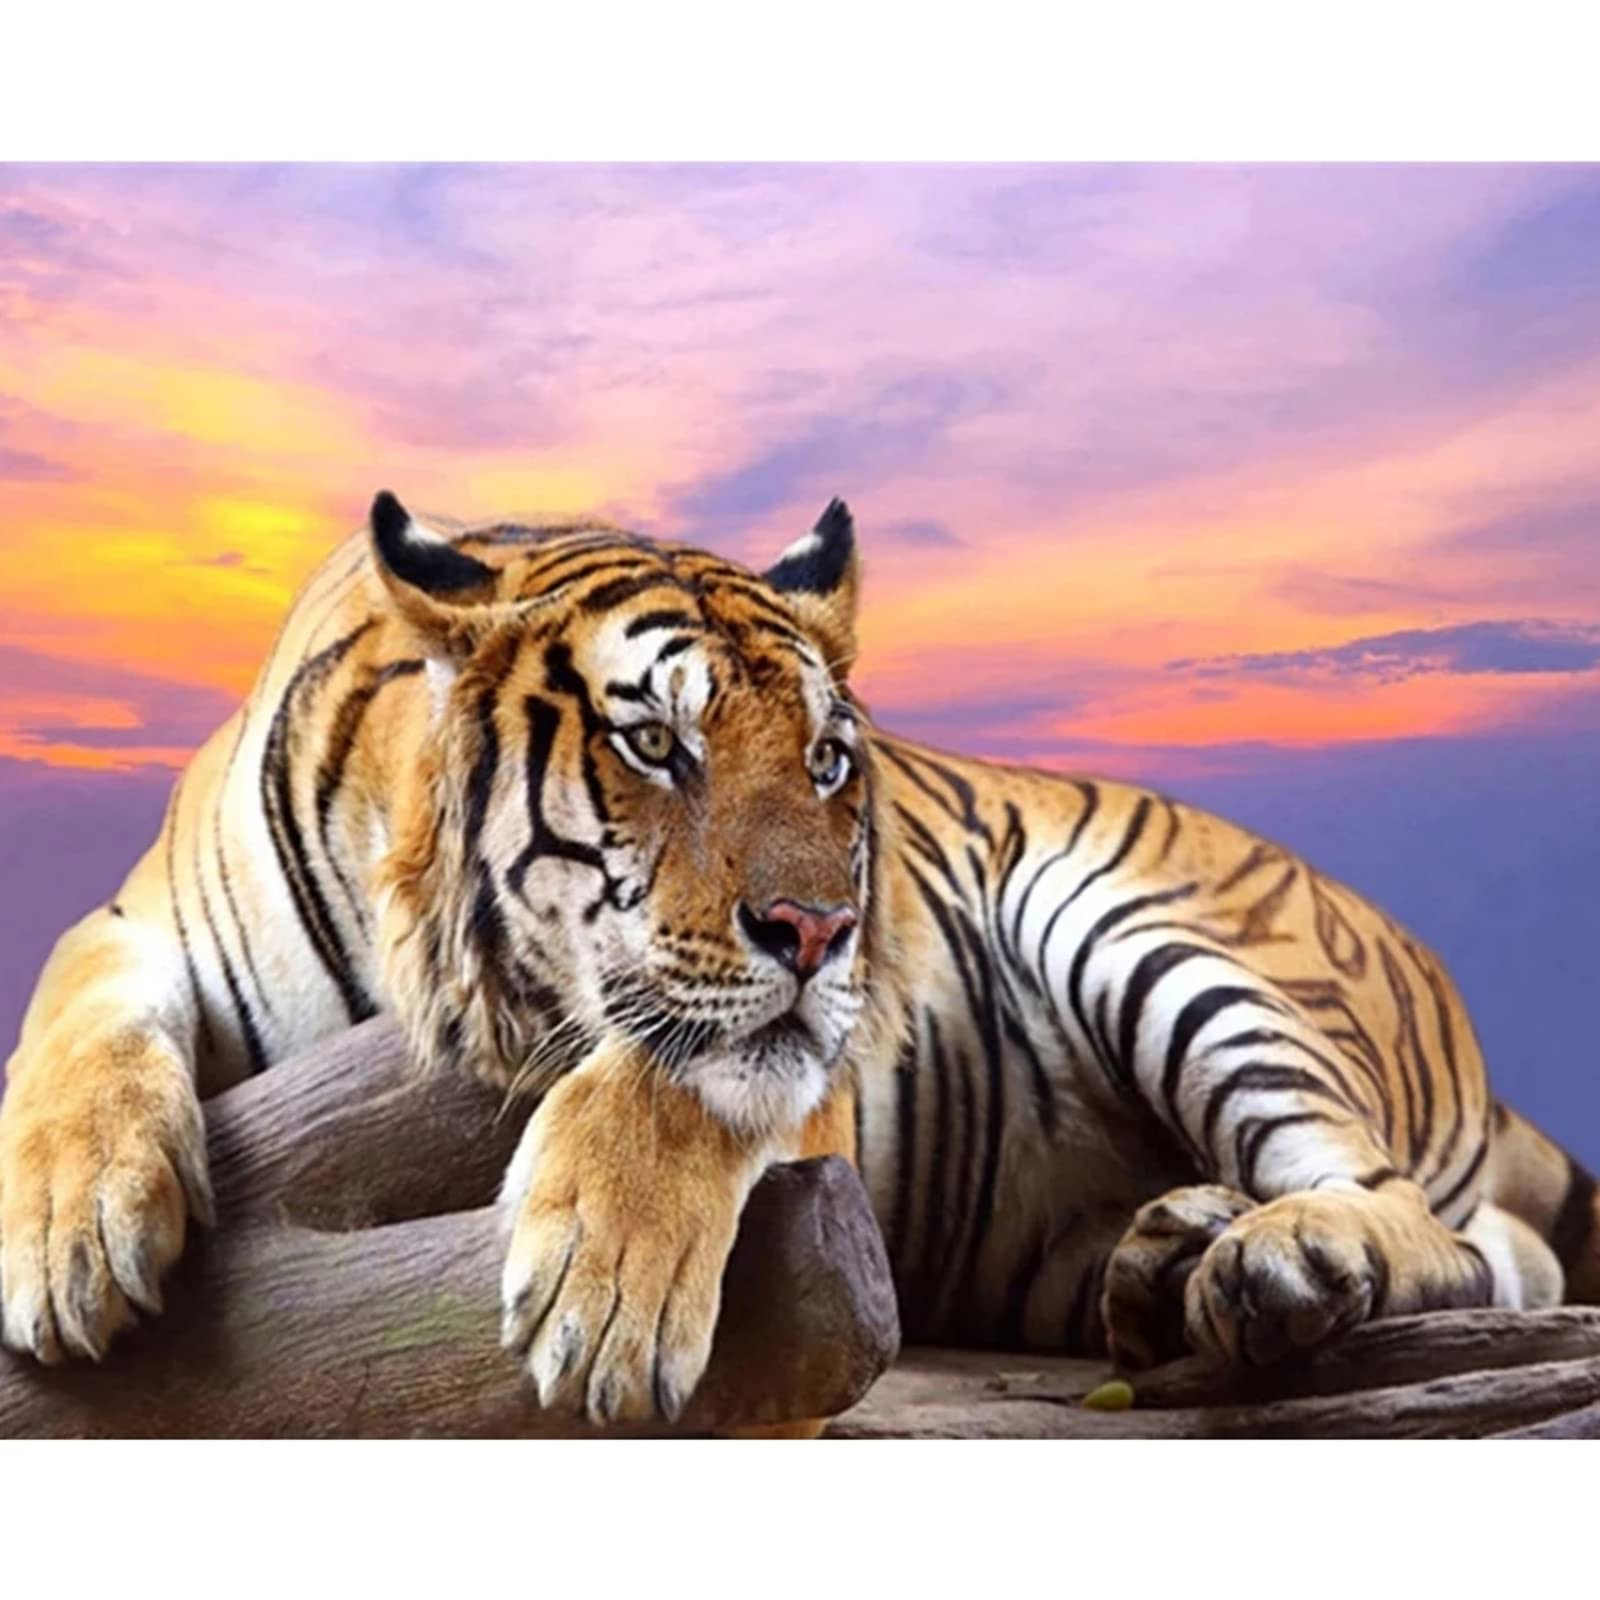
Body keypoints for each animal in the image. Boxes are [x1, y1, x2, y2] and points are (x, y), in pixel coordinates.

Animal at [2, 490, 1597, 1427]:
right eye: (658, 742)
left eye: (830, 759)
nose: (828, 932)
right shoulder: (141, 924)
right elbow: (73, 1023)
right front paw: (74, 1241)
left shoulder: (789, 1056)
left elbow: (683, 1070)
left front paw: (604, 1300)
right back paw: (1165, 1262)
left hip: (1145, 927)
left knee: (1442, 1231)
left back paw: (1277, 1263)